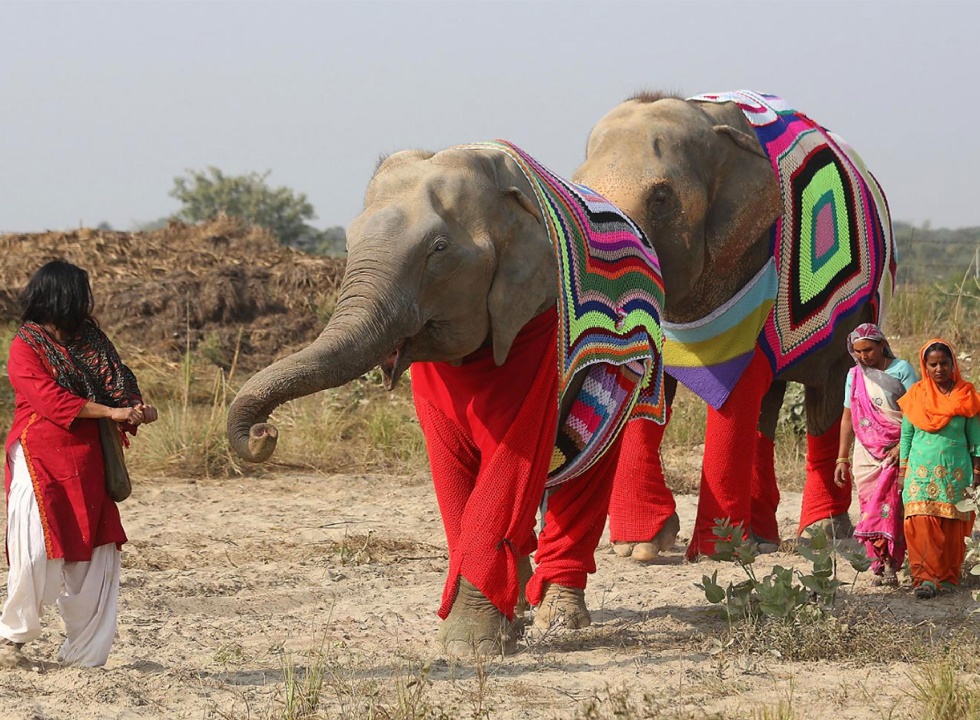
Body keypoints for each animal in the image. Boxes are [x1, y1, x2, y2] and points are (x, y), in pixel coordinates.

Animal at [228, 141, 668, 660]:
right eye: (347, 246)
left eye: (438, 250)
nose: (265, 432)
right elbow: (453, 467)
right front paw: (492, 632)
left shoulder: (535, 332)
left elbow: (511, 462)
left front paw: (469, 646)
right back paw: (521, 605)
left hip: (621, 369)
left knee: (586, 464)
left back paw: (560, 617)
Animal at [576, 90, 896, 560]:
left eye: (661, 199)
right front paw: (641, 546)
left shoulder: (752, 267)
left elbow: (738, 389)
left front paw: (718, 550)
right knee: (769, 405)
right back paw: (763, 536)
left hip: (854, 315)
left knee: (826, 396)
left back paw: (822, 532)